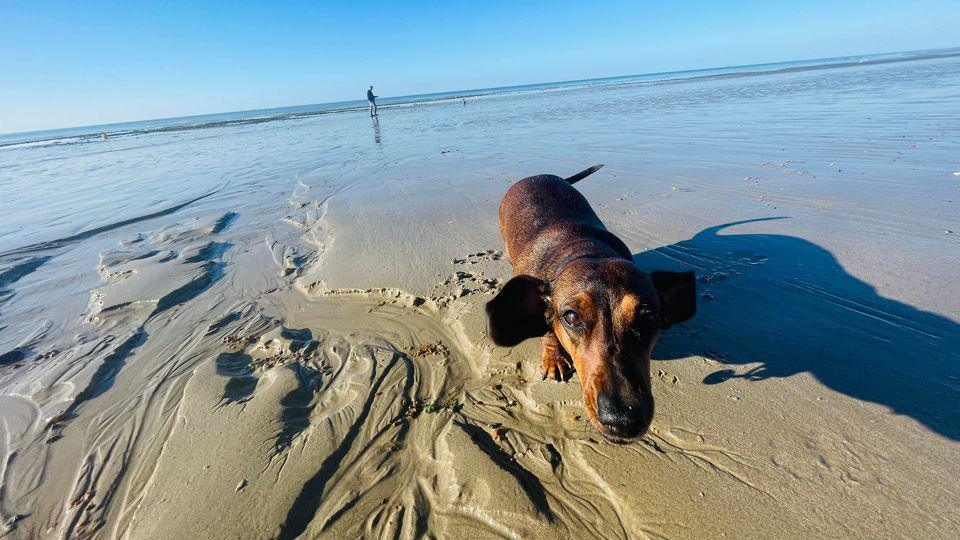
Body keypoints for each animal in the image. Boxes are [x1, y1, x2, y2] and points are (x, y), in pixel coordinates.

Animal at [488, 166, 696, 442]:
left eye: (649, 317)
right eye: (571, 317)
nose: (623, 420)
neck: (582, 249)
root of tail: (539, 175)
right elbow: (549, 333)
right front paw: (554, 358)